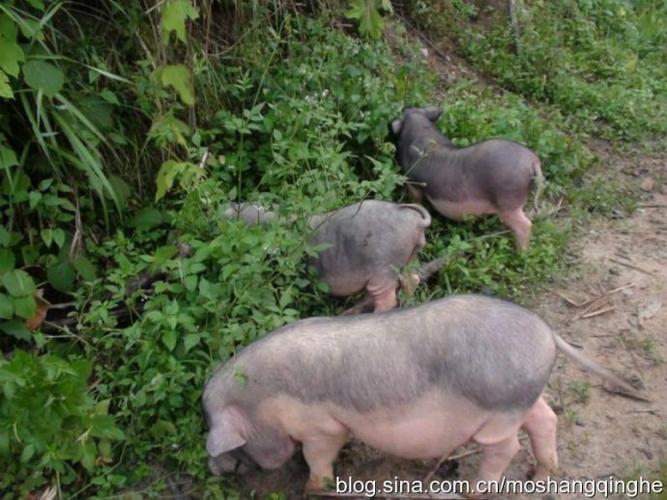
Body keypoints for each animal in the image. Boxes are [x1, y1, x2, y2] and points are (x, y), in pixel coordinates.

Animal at [202, 294, 640, 494]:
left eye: (233, 445)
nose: (215, 469)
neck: (260, 402)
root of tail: (546, 332)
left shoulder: (321, 426)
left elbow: (319, 457)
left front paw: (312, 489)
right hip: (523, 400)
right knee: (546, 419)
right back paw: (542, 475)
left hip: (499, 411)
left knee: (505, 447)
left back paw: (472, 492)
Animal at [224, 200, 434, 312]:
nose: (225, 208)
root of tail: (417, 222)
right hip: (409, 258)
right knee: (412, 279)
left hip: (383, 268)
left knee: (387, 299)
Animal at [392, 107, 544, 252]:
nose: (404, 107)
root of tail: (533, 161)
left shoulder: (413, 182)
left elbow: (415, 198)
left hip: (509, 202)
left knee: (525, 225)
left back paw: (520, 253)